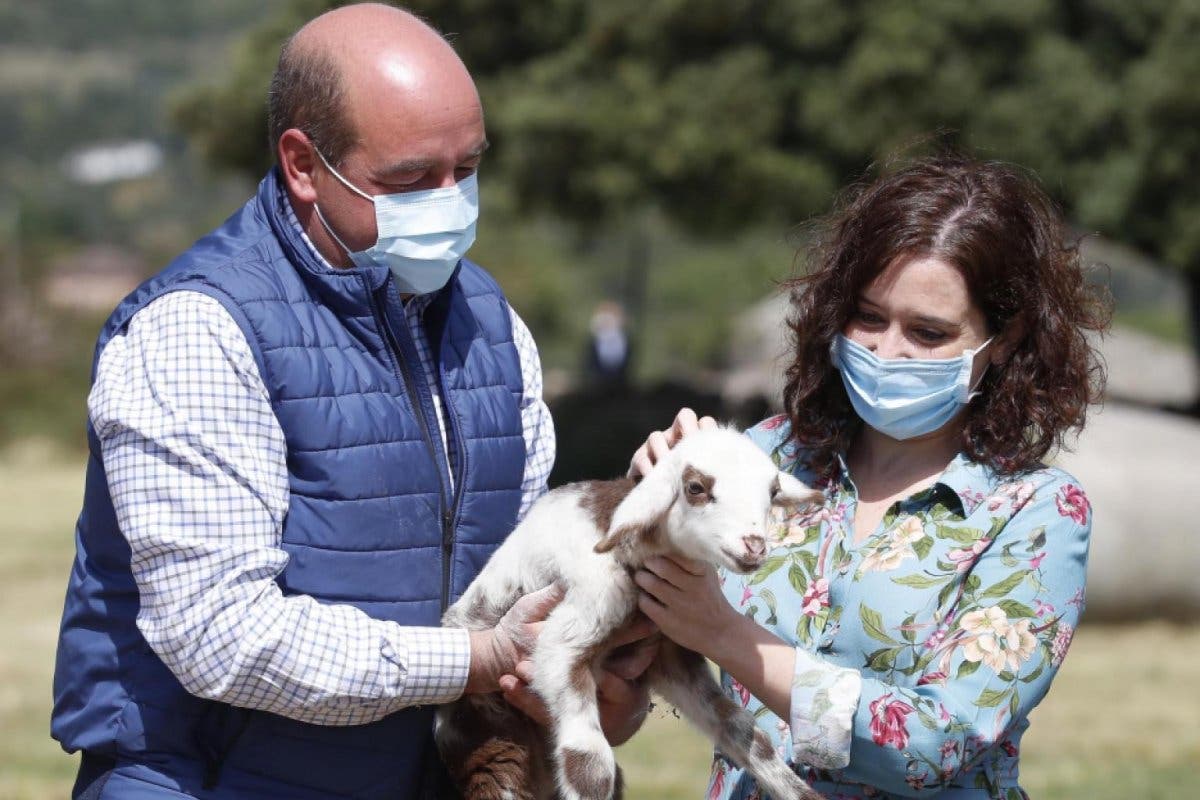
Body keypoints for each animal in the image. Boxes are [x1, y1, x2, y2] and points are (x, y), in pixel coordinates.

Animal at [439, 429, 825, 800]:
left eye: (773, 492)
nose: (754, 547)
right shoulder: (565, 639)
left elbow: (746, 733)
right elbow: (589, 765)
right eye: (695, 488)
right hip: (493, 742)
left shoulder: (668, 652)